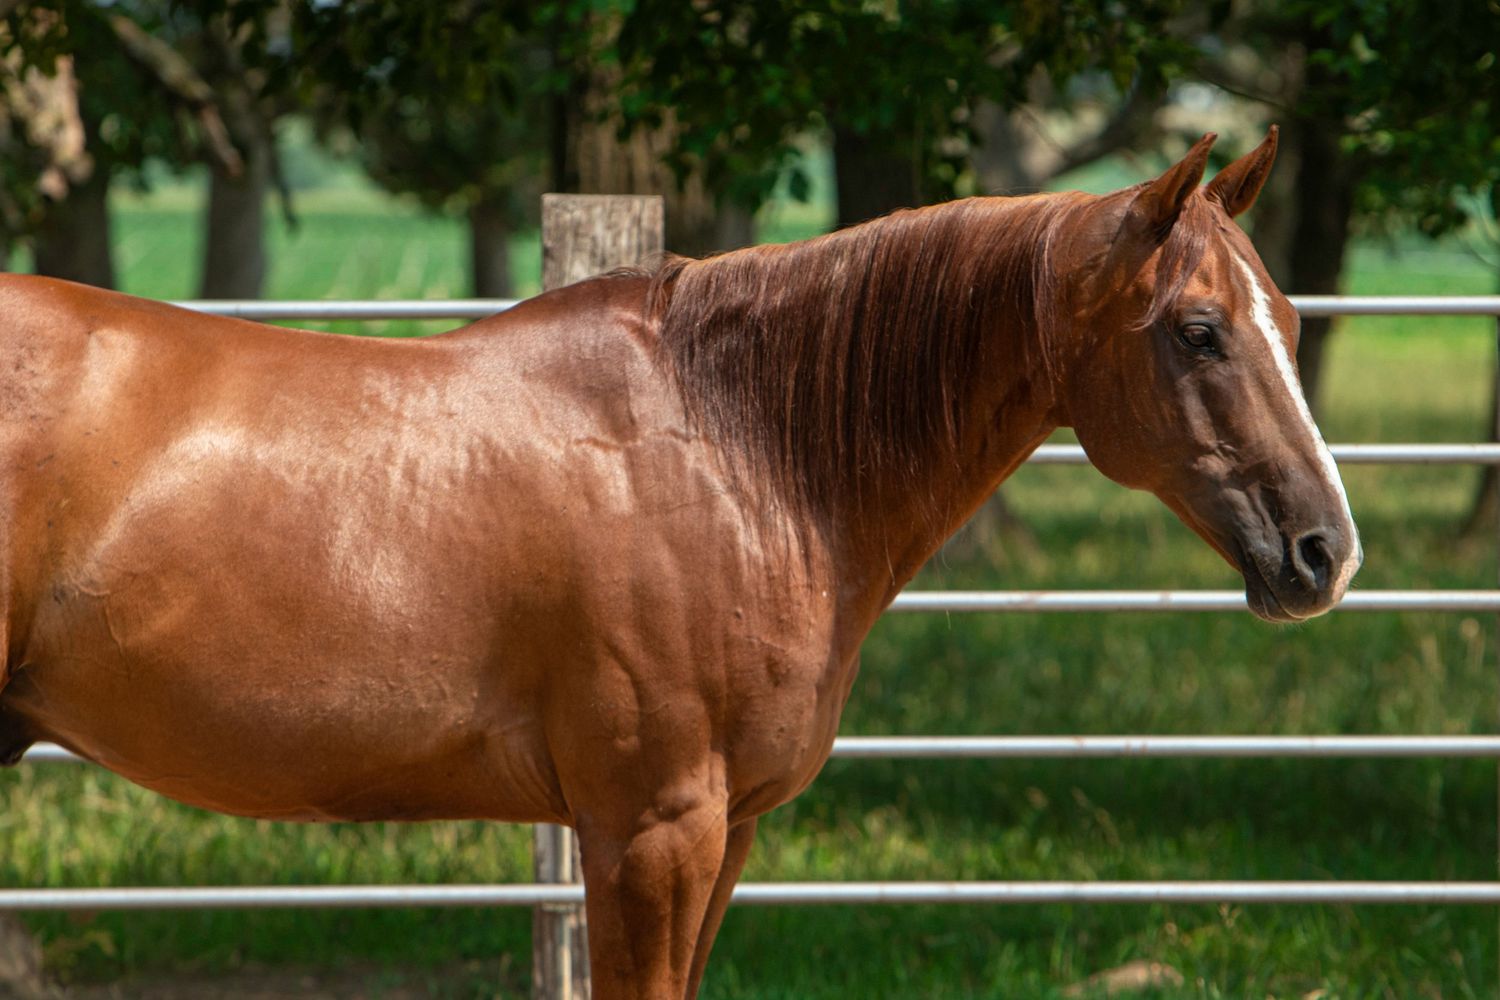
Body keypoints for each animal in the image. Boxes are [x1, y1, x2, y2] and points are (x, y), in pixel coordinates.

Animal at [0, 127, 1357, 998]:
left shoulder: (726, 834)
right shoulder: (650, 832)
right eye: (1199, 330)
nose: (1323, 551)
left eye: (1289, 320)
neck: (738, 446)